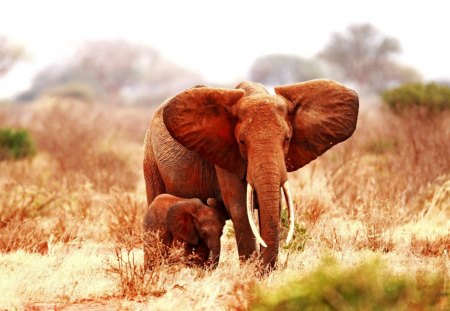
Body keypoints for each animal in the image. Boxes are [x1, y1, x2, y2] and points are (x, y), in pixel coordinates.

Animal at [144, 80, 358, 270]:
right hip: (150, 159)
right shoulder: (224, 156)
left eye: (287, 139)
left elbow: (272, 206)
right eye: (241, 142)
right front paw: (251, 273)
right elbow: (240, 209)